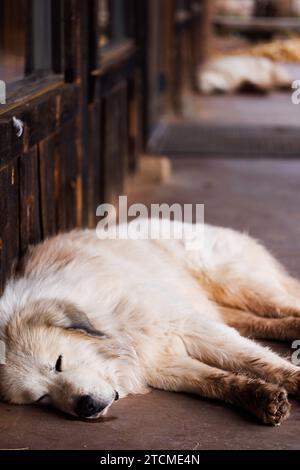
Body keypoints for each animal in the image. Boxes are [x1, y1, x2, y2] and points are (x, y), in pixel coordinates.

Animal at [0, 220, 300, 426]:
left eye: (59, 363)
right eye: (43, 398)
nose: (85, 408)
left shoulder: (188, 327)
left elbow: (256, 360)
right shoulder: (162, 364)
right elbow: (217, 381)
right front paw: (261, 398)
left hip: (237, 285)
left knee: (283, 303)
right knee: (259, 321)